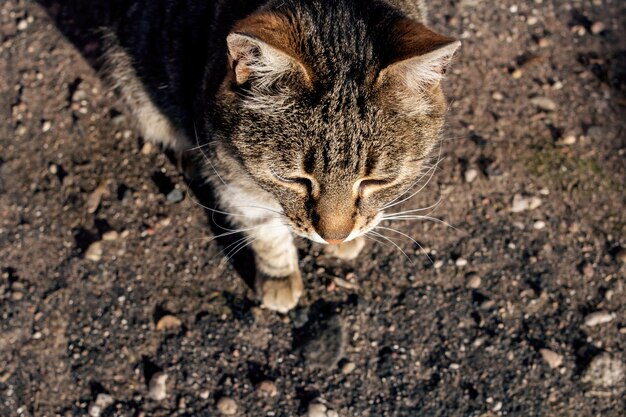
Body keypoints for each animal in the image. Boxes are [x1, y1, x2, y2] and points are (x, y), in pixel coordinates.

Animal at [98, 0, 458, 312]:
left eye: (376, 181)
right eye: (293, 179)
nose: (334, 237)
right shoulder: (232, 175)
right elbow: (265, 229)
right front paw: (279, 275)